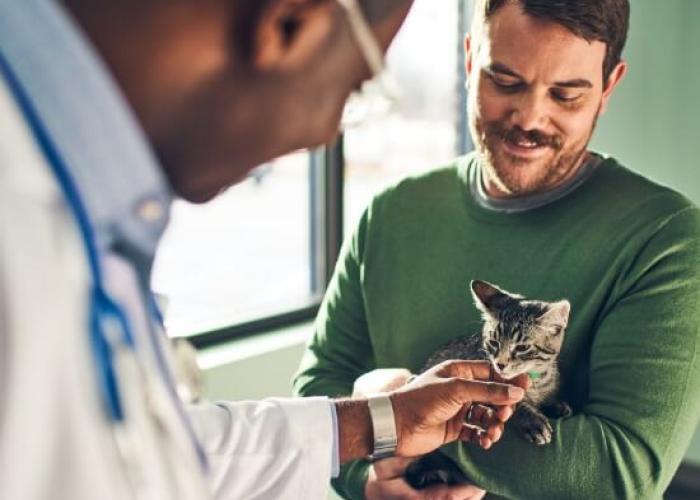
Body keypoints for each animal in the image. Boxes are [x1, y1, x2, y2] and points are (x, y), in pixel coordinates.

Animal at [404, 280, 568, 490]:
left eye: (522, 347)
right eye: (494, 342)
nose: (500, 364)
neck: (534, 380)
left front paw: (556, 405)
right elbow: (513, 402)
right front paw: (532, 420)